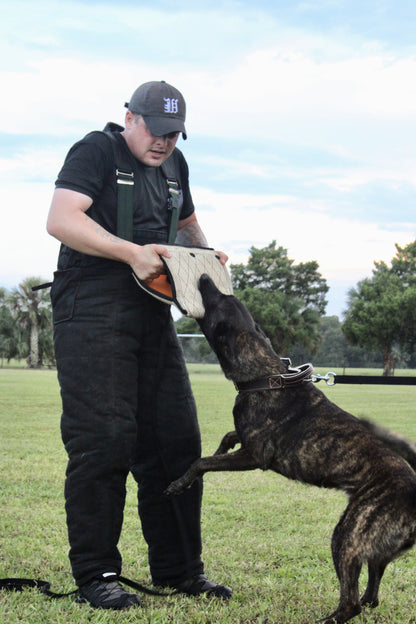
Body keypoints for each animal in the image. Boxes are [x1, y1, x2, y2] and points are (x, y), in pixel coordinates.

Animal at [167, 276, 416, 624]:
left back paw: (329, 618)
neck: (265, 375)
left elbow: (202, 462)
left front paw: (180, 483)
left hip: (348, 536)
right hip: (376, 547)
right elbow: (228, 438)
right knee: (374, 584)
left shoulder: (254, 457)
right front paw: (220, 446)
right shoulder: (247, 442)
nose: (205, 279)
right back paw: (368, 600)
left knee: (350, 602)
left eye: (216, 301)